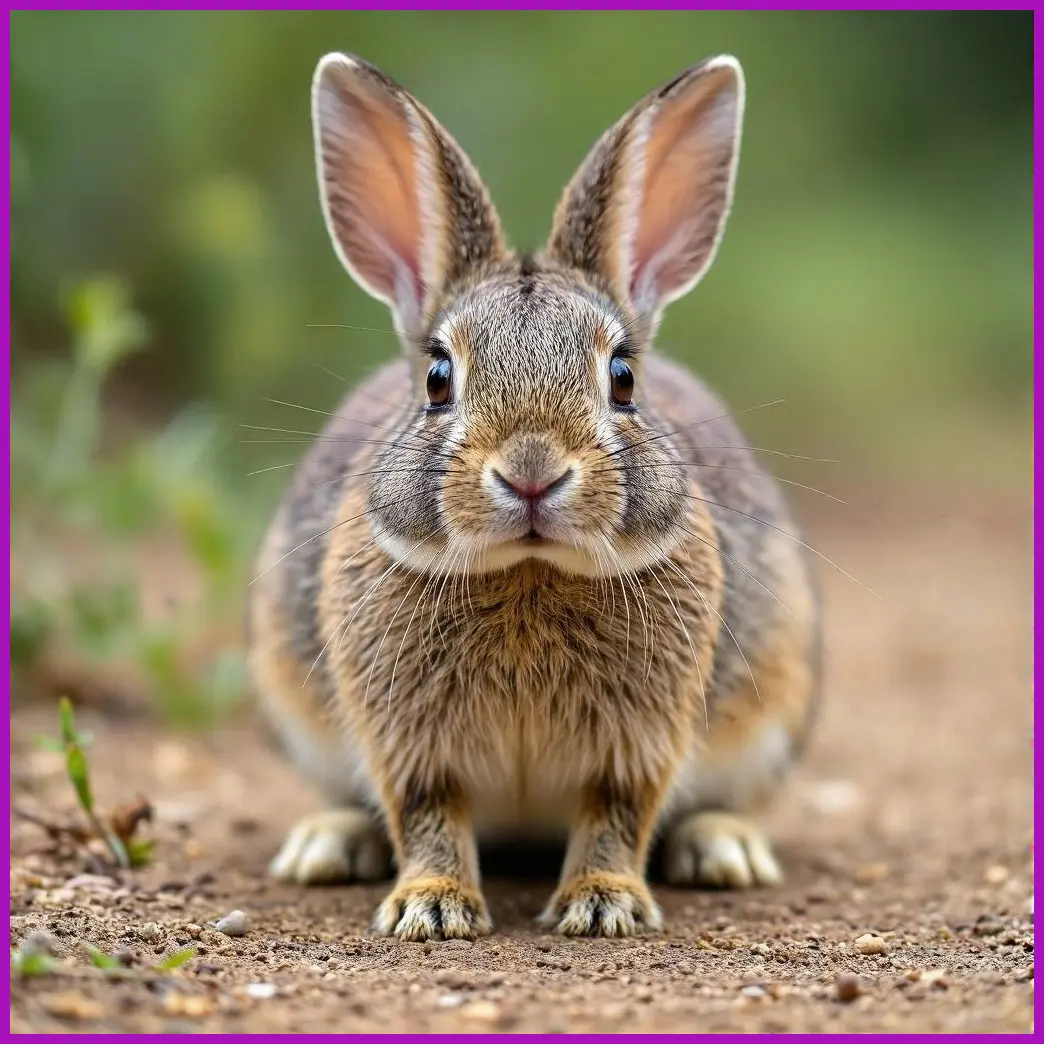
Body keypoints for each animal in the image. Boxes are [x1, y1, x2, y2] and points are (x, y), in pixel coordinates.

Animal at [248, 51, 822, 941]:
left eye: (623, 377)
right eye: (437, 377)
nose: (531, 471)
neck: (528, 570)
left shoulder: (639, 743)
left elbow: (617, 813)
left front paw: (603, 903)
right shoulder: (408, 742)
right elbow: (427, 813)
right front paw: (432, 907)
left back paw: (725, 848)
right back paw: (327, 844)